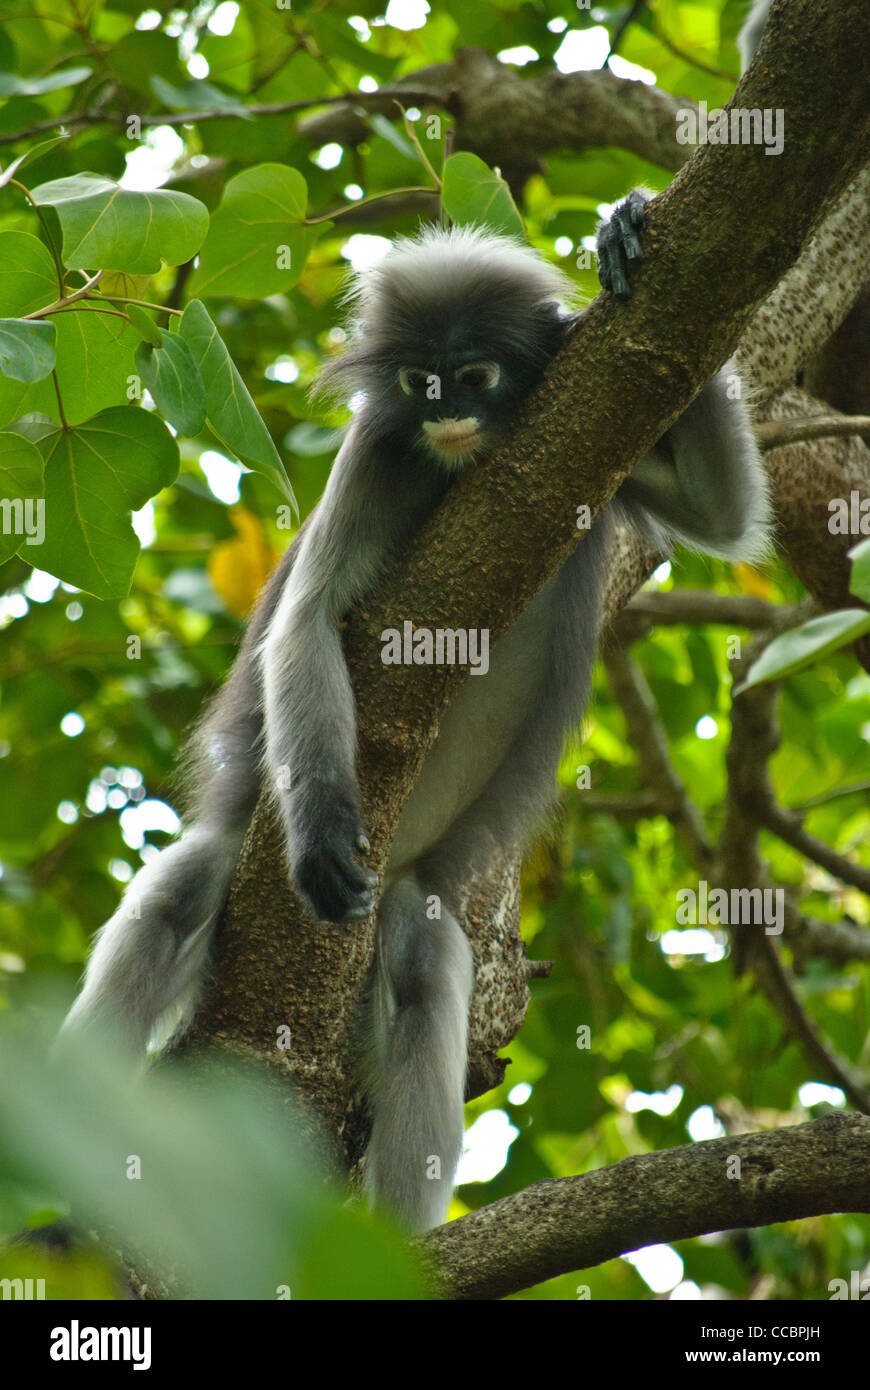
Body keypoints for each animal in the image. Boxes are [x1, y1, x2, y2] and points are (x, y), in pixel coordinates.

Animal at [59, 202, 767, 1228]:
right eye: (416, 383)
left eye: (473, 376)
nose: (445, 414)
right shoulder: (376, 453)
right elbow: (306, 622)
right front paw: (321, 833)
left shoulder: (611, 454)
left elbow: (727, 513)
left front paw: (624, 237)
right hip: (246, 853)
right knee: (176, 893)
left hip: (408, 897)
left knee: (425, 964)